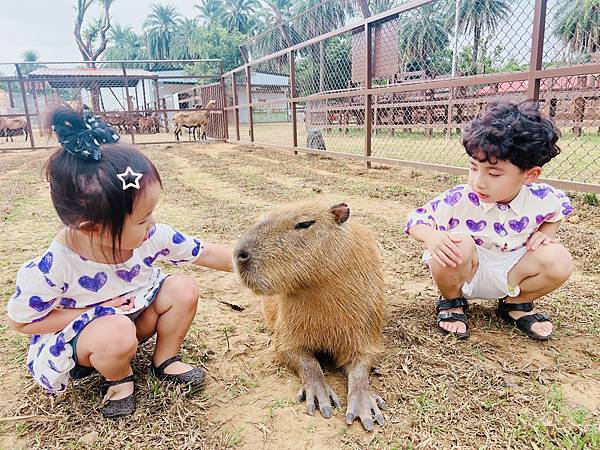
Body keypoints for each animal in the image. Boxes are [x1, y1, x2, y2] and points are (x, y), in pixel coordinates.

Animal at [232, 202, 386, 430]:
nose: (239, 253)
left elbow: (364, 361)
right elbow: (300, 358)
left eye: (305, 223)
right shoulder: (287, 329)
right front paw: (321, 399)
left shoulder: (366, 327)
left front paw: (365, 410)